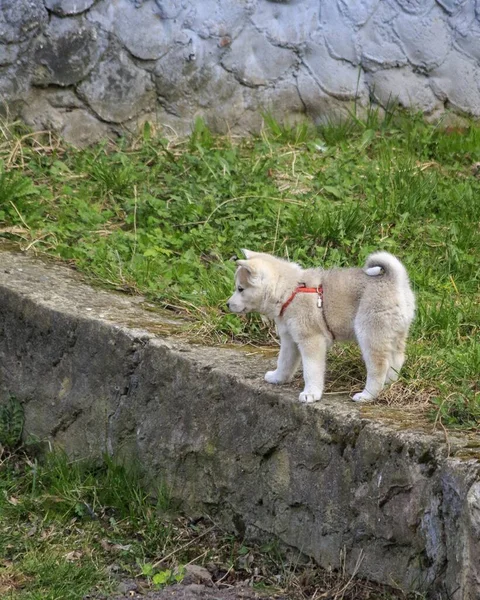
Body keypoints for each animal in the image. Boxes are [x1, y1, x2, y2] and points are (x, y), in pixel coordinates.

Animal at [227, 248, 414, 404]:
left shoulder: (311, 340)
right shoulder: (290, 340)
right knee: (397, 359)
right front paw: (277, 378)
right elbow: (284, 362)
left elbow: (311, 371)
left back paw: (367, 395)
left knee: (379, 366)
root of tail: (394, 279)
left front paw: (310, 394)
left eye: (240, 289)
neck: (289, 291)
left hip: (369, 334)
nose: (227, 304)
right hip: (394, 334)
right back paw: (388, 385)